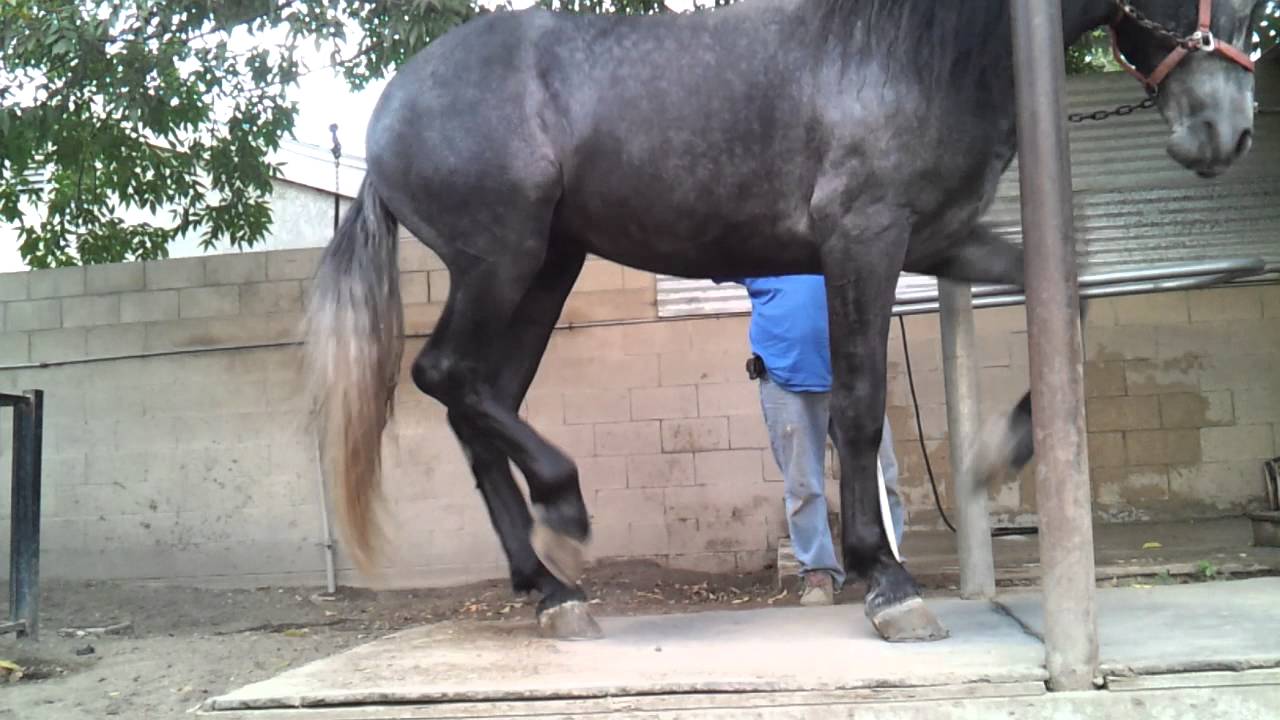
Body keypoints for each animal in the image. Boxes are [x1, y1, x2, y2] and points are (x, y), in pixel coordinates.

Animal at [302, 0, 1264, 642]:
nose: (1225, 136)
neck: (923, 52)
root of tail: (389, 114)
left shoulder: (942, 239)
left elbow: (1074, 289)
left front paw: (998, 455)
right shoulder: (864, 238)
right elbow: (859, 409)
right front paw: (889, 581)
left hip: (546, 268)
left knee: (477, 401)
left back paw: (550, 589)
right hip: (501, 261)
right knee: (447, 377)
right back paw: (564, 508)